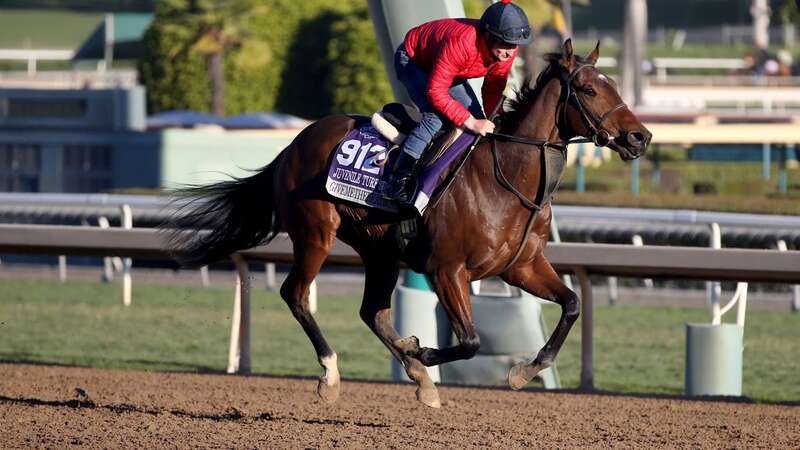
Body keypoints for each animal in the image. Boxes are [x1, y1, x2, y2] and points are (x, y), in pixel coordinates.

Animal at [169, 39, 648, 408]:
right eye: (589, 89)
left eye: (614, 85)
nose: (640, 136)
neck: (508, 177)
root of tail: (293, 145)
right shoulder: (447, 270)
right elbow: (470, 341)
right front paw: (421, 351)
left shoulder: (521, 266)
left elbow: (572, 304)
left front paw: (522, 371)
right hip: (314, 234)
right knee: (297, 295)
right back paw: (333, 375)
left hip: (379, 251)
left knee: (372, 311)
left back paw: (414, 373)